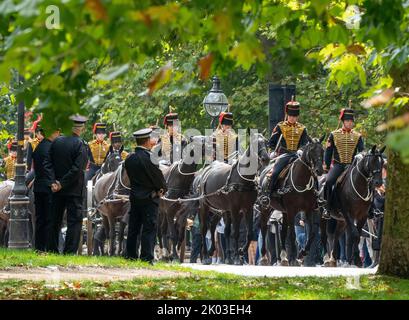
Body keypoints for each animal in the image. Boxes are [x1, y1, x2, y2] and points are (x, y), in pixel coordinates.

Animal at [198, 132, 270, 264]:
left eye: (266, 142)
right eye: (254, 142)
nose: (265, 158)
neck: (243, 179)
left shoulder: (247, 208)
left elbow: (249, 233)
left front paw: (240, 252)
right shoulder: (235, 208)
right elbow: (235, 233)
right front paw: (237, 257)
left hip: (222, 209)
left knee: (215, 227)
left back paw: (221, 255)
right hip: (204, 206)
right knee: (204, 228)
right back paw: (205, 256)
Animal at [256, 136, 324, 266]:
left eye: (322, 151)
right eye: (312, 151)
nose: (320, 170)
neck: (302, 180)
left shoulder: (308, 210)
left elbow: (312, 233)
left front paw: (302, 254)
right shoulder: (292, 210)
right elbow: (292, 234)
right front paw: (294, 259)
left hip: (283, 211)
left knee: (282, 232)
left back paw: (283, 257)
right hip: (266, 208)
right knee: (263, 228)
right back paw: (264, 257)